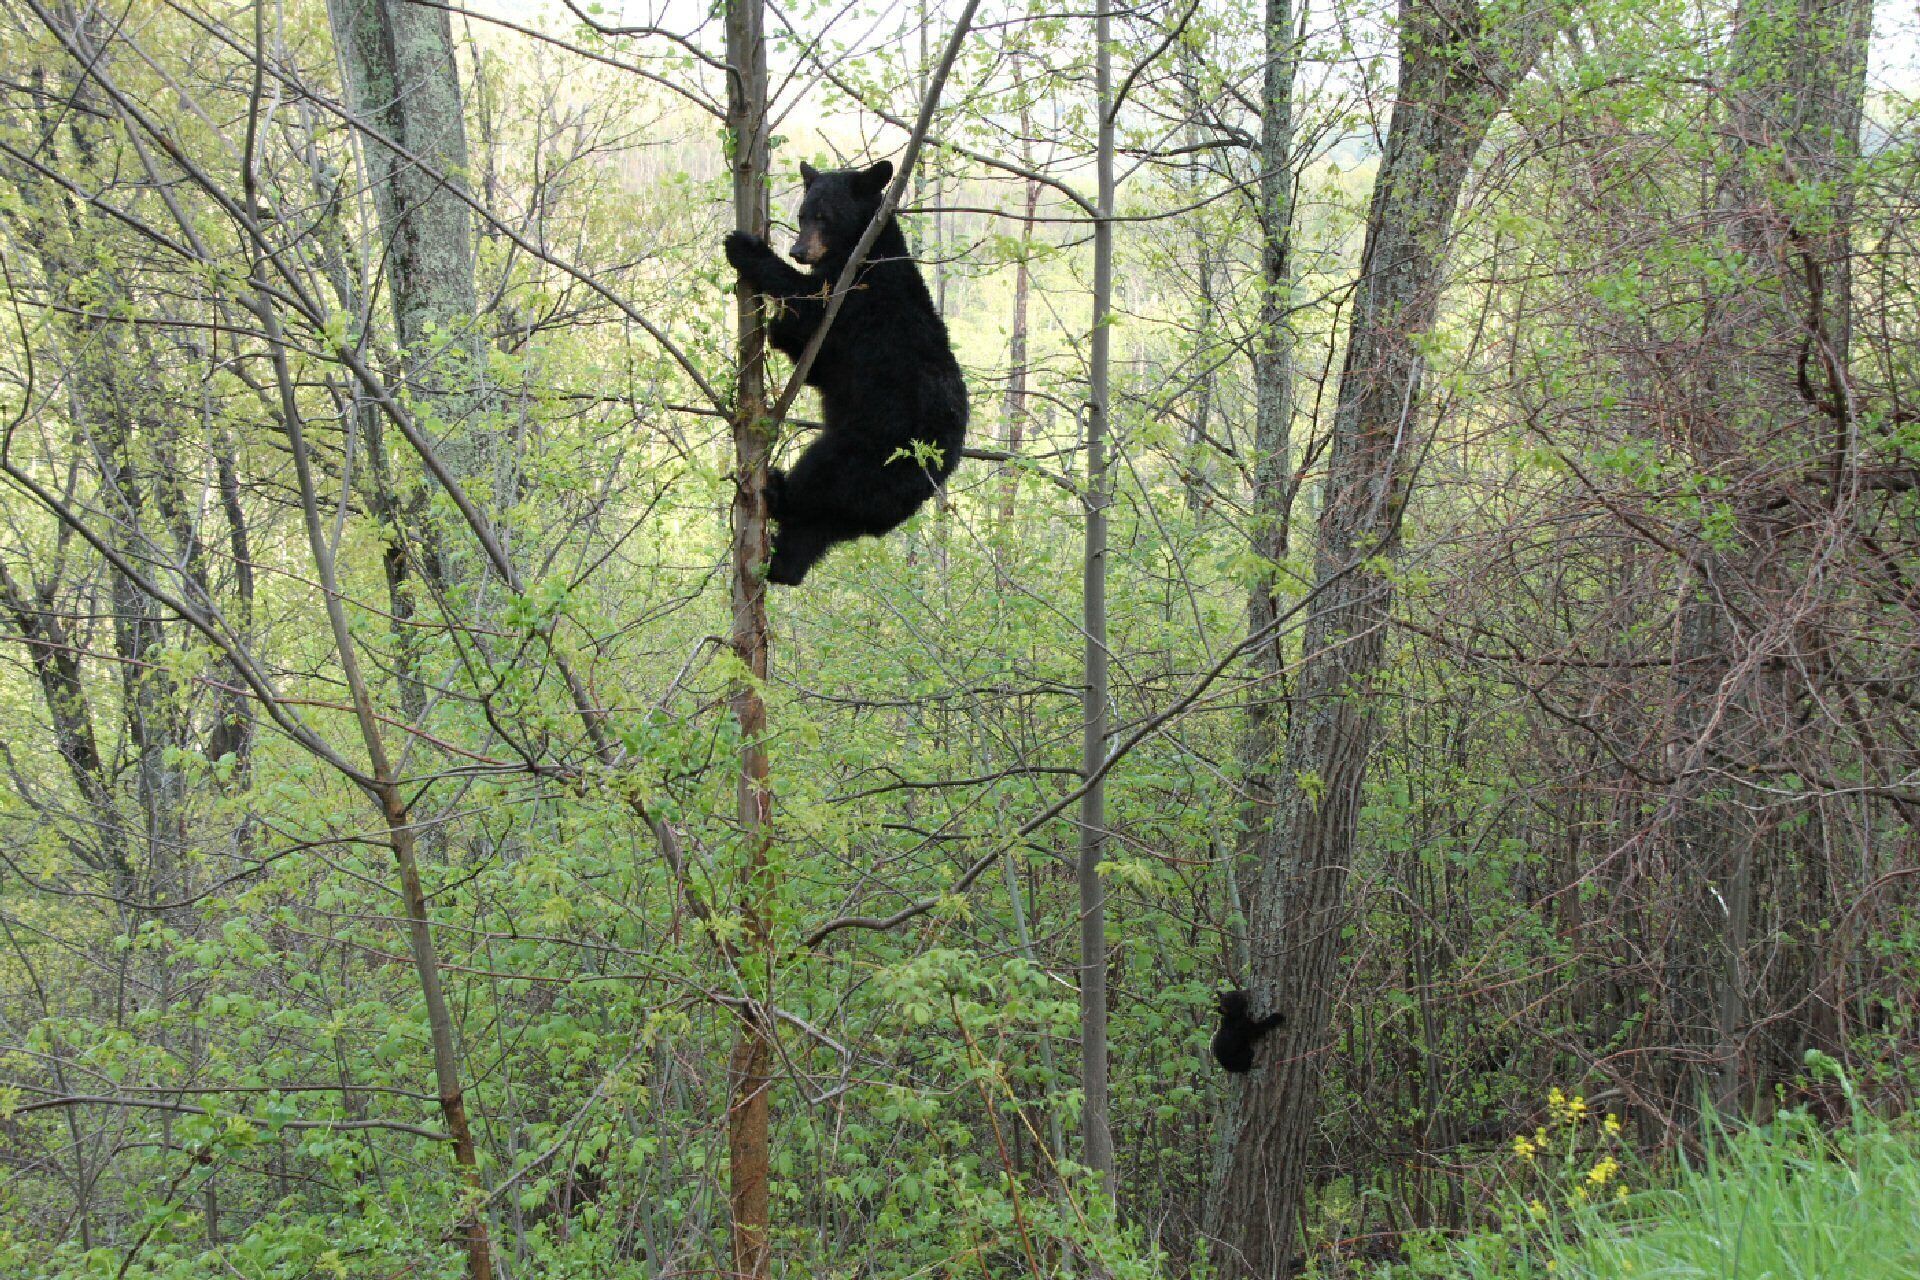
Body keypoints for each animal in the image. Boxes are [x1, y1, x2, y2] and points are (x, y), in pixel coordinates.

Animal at [722, 159, 968, 586]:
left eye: (825, 216)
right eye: (802, 215)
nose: (798, 250)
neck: (865, 250)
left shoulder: (856, 300)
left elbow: (809, 309)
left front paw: (746, 249)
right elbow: (811, 357)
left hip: (863, 451)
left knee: (818, 479)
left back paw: (779, 489)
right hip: (856, 505)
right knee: (815, 529)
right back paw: (782, 565)